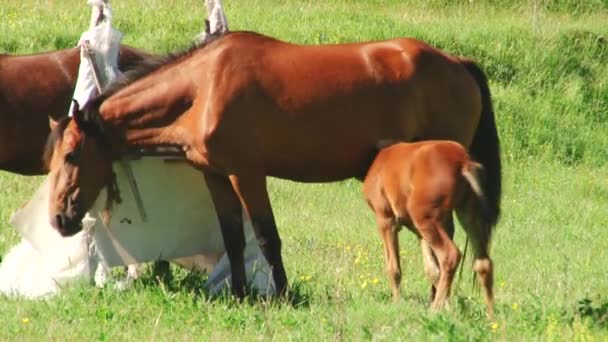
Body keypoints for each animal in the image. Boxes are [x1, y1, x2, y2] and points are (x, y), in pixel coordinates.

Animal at [360, 140, 494, 316]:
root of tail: (463, 161)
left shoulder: (385, 219)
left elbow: (393, 268)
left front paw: (397, 304)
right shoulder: (421, 230)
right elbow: (432, 270)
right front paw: (449, 307)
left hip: (425, 218)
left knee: (450, 255)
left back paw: (433, 310)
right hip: (467, 213)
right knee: (483, 262)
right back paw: (492, 316)